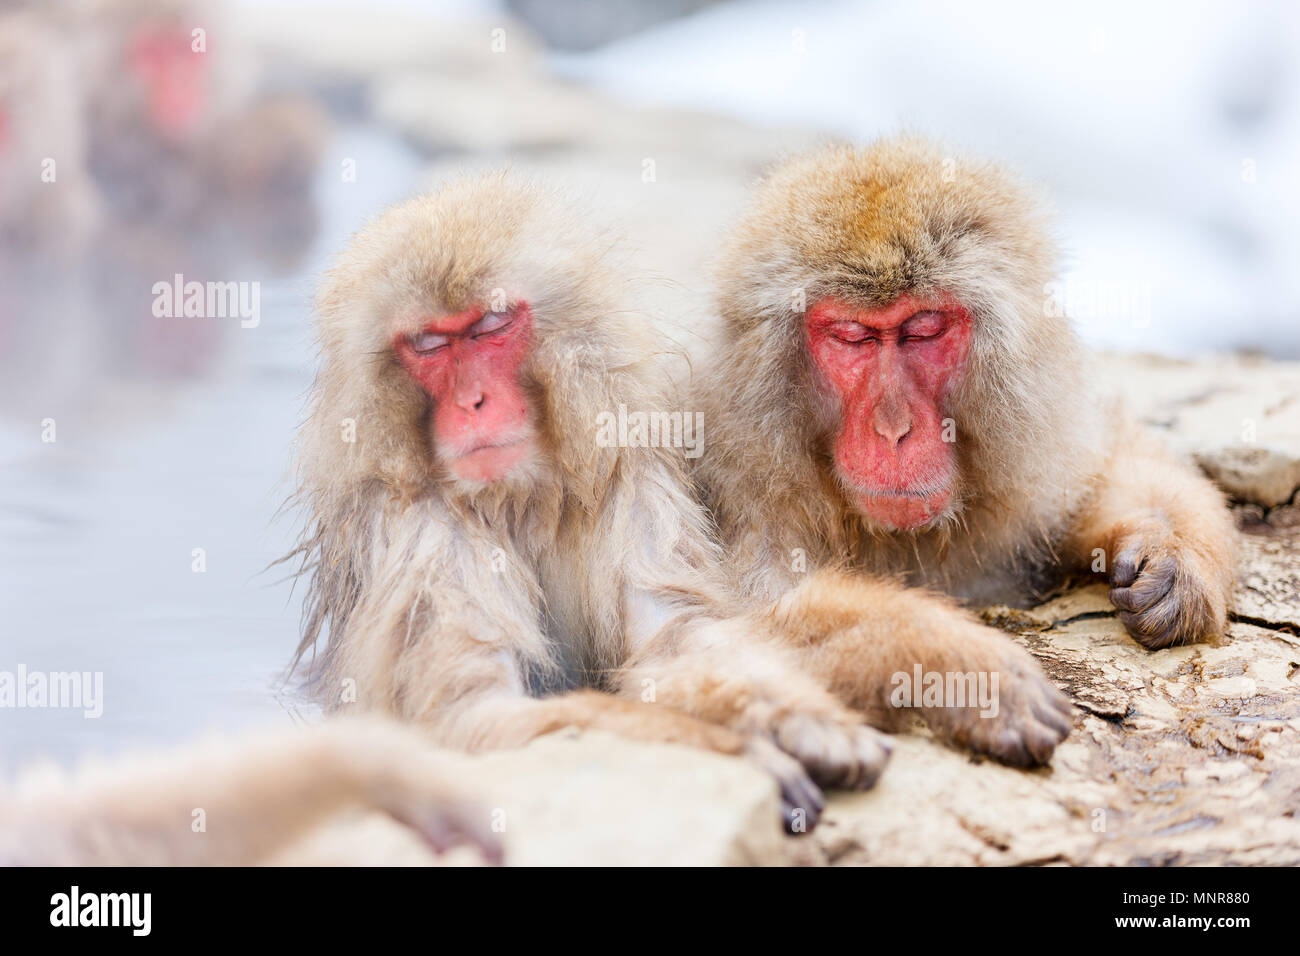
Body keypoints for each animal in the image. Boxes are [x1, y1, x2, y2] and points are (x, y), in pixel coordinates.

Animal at [286, 171, 902, 827]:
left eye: (489, 327)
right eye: (428, 344)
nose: (473, 402)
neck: (516, 498)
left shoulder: (628, 474)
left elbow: (676, 637)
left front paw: (801, 718)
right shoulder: (418, 531)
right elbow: (470, 720)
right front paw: (744, 751)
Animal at [695, 136, 1237, 688]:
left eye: (924, 330)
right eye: (853, 337)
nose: (893, 428)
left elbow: (1104, 460)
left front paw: (1168, 555)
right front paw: (939, 652)